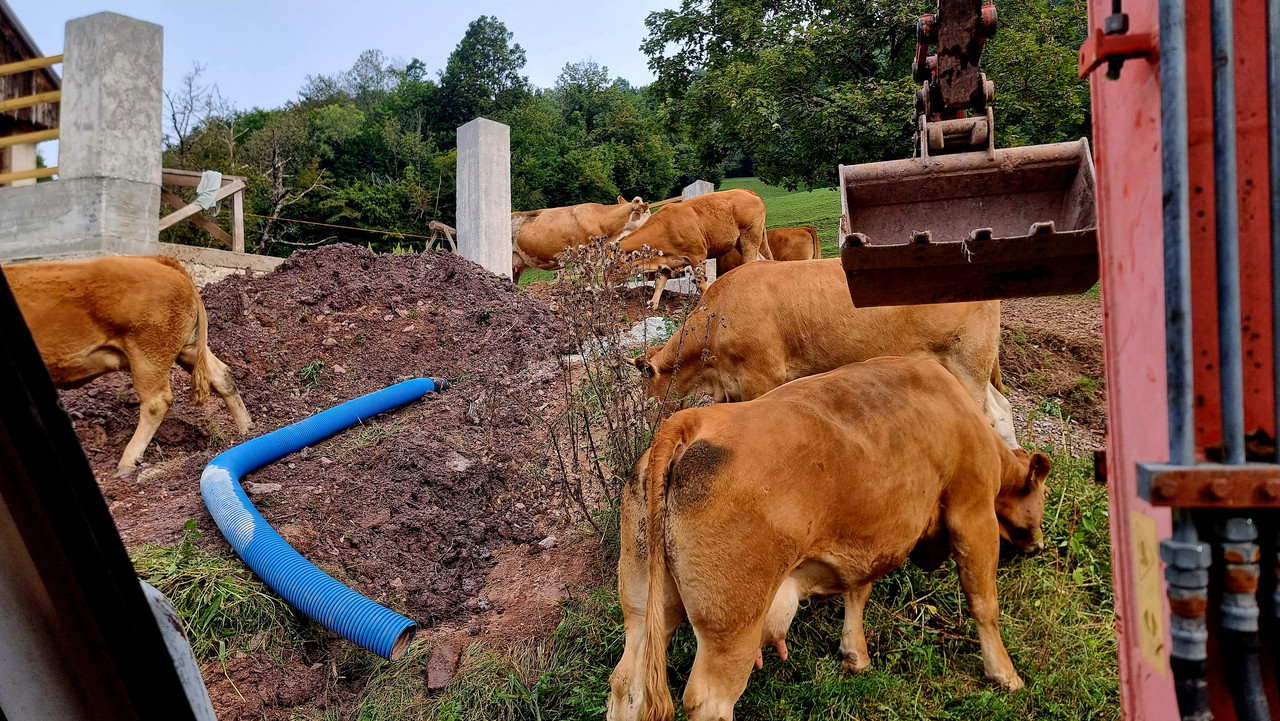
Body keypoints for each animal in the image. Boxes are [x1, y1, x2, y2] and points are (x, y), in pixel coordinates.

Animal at [3, 256, 254, 475]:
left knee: (156, 401)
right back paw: (247, 431)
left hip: (148, 354)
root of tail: (156, 259)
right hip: (187, 346)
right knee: (221, 374)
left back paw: (127, 461)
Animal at [607, 357, 1051, 721]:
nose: (1039, 545)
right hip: (731, 626)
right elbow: (983, 602)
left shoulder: (868, 536)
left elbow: (859, 589)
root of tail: (690, 422)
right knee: (707, 701)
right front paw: (1004, 673)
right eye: (1041, 496)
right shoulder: (972, 512)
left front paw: (855, 655)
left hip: (644, 604)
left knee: (627, 685)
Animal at [619, 188, 769, 309]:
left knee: (750, 261)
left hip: (750, 236)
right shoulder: (667, 262)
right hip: (740, 242)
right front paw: (653, 304)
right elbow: (659, 283)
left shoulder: (698, 256)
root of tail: (746, 191)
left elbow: (701, 284)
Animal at [629, 257, 1017, 448]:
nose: (650, 430)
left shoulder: (762, 377)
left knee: (987, 415)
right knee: (1002, 409)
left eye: (646, 395)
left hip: (968, 359)